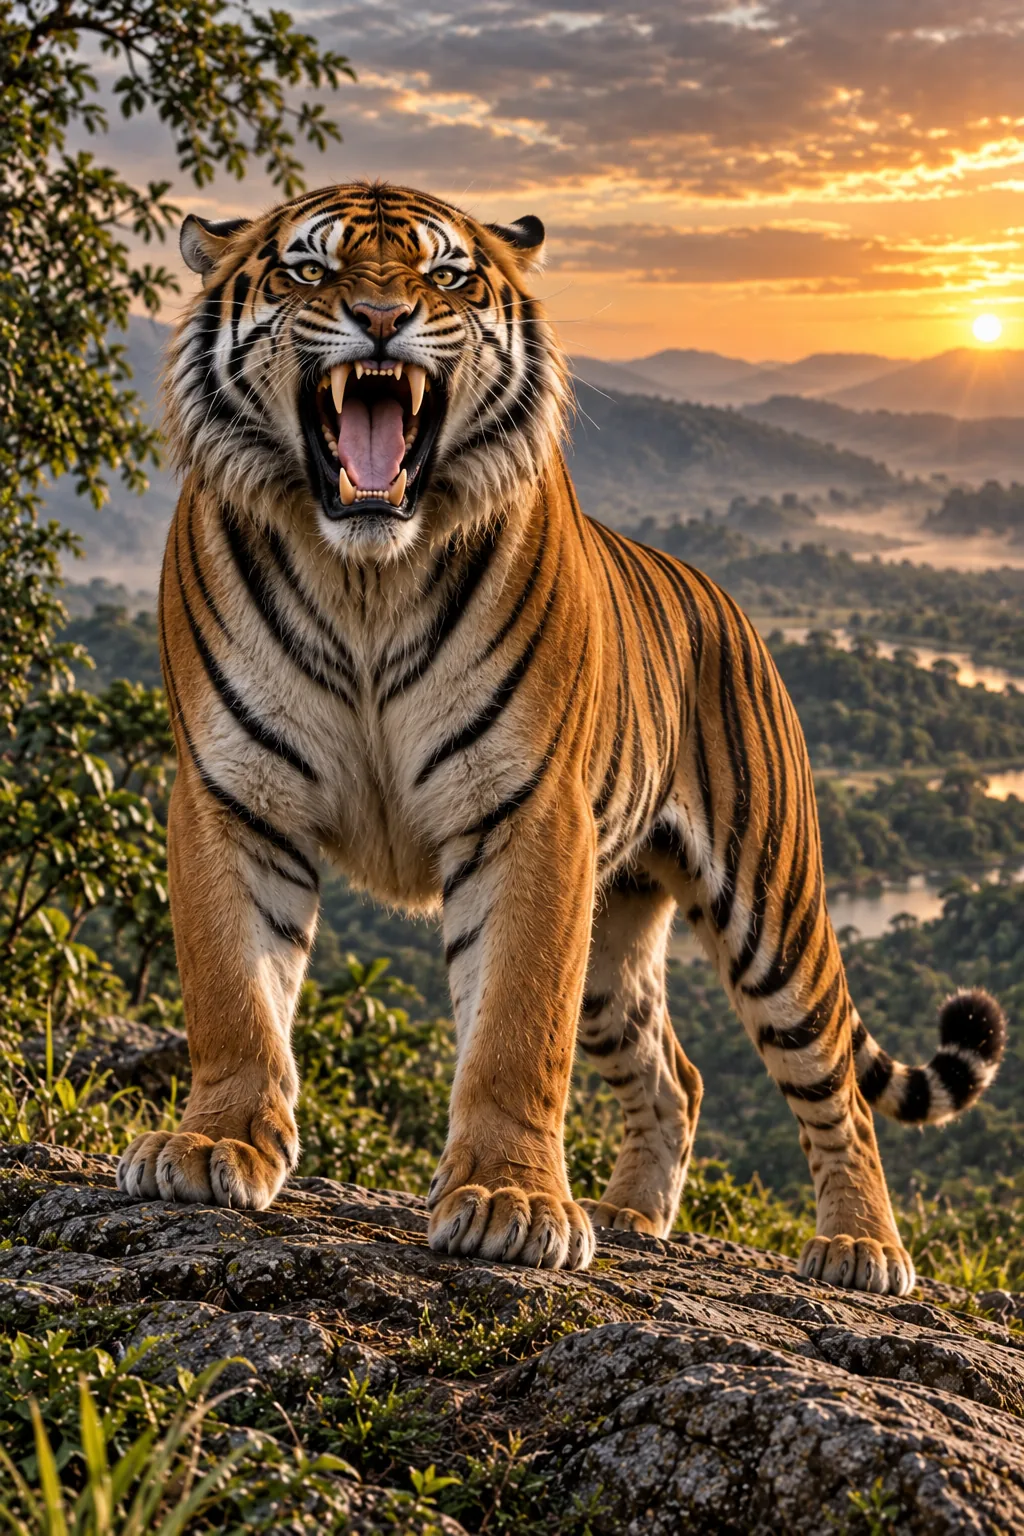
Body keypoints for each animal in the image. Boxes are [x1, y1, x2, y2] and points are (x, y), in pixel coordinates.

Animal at [116, 181, 1006, 1295]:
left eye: (447, 276)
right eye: (308, 270)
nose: (380, 317)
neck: (364, 573)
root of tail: (732, 606)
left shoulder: (527, 814)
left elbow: (512, 1030)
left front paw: (510, 1204)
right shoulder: (234, 793)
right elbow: (234, 991)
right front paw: (211, 1147)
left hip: (773, 911)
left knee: (833, 1081)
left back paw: (860, 1249)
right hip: (616, 935)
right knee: (677, 1075)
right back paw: (632, 1218)